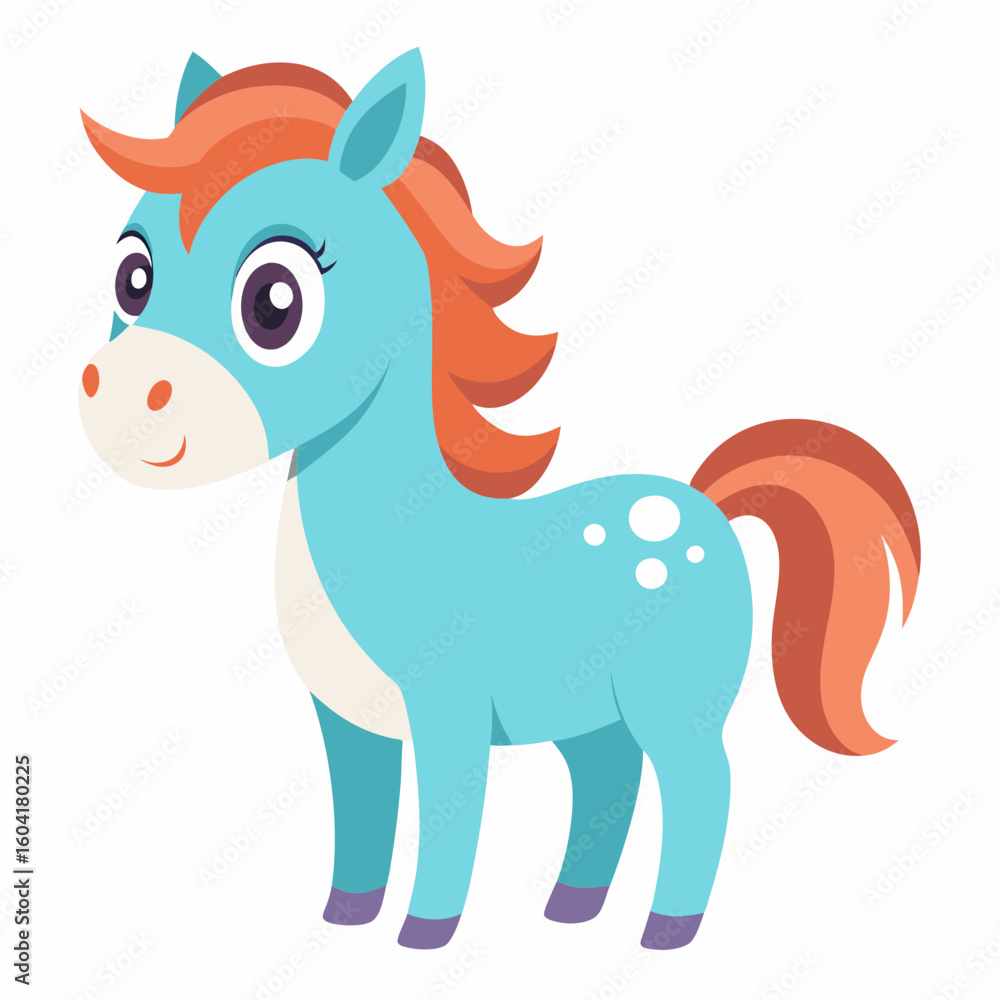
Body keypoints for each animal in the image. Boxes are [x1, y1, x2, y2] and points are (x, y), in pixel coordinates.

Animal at [77, 49, 921, 951]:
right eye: (133, 274)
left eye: (274, 301)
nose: (120, 398)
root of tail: (707, 506)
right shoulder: (349, 723)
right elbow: (361, 819)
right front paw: (346, 919)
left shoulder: (447, 709)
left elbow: (452, 818)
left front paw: (424, 933)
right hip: (595, 711)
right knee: (610, 779)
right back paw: (572, 908)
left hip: (673, 704)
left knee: (705, 786)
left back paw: (667, 929)